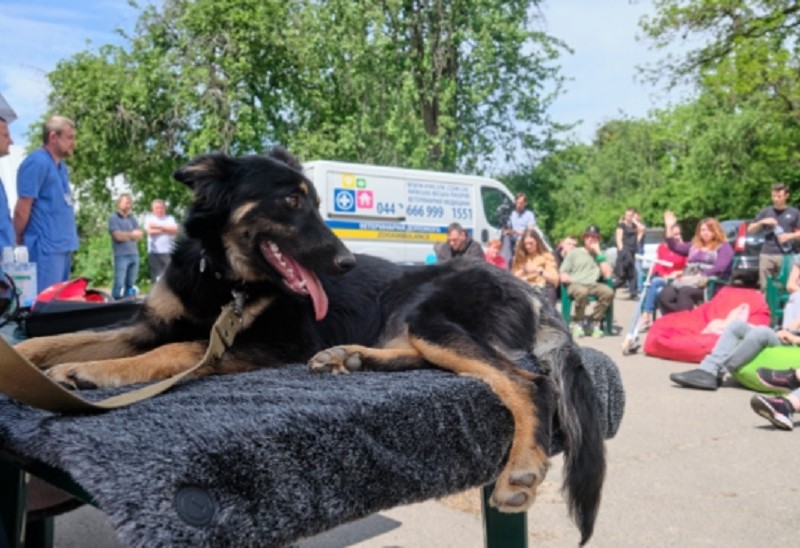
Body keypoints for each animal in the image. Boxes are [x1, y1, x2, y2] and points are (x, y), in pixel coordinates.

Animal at [14, 149, 608, 544]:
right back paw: (350, 357)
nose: (345, 262)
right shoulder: (148, 324)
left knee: (526, 382)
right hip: (409, 323)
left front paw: (90, 372)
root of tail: (530, 289)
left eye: (320, 203)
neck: (223, 277)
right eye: (292, 200)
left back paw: (522, 468)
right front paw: (29, 358)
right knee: (433, 359)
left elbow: (173, 353)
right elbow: (72, 337)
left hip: (428, 316)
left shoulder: (268, 345)